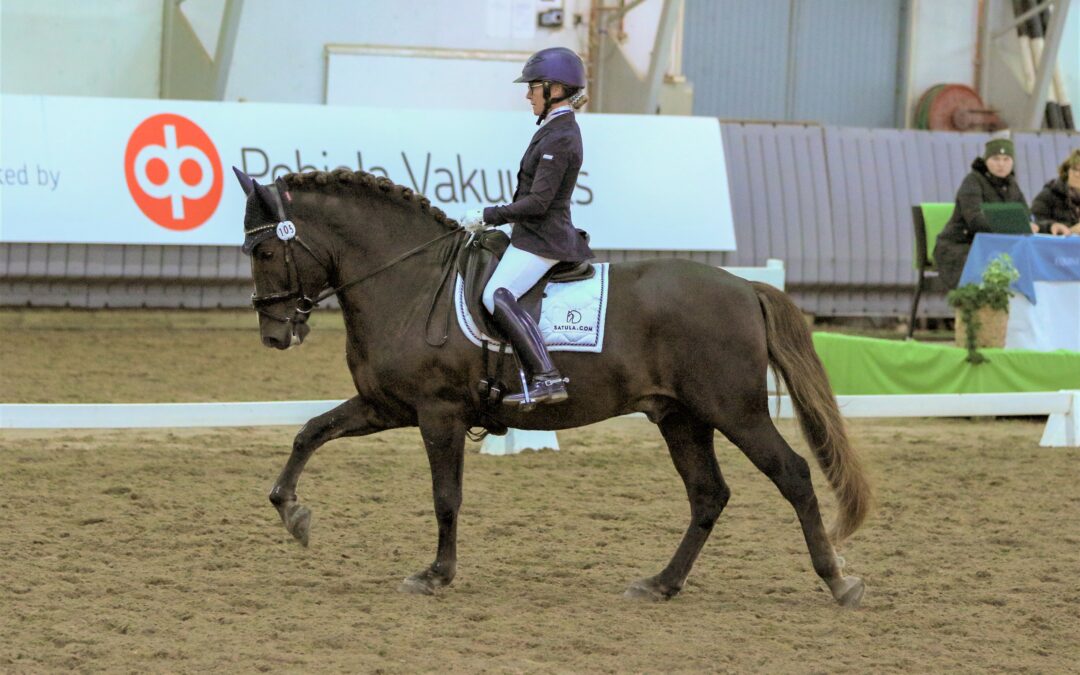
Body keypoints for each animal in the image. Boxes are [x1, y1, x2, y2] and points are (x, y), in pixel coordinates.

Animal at [234, 166, 872, 607]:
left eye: (264, 249)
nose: (273, 334)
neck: (408, 281)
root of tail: (745, 287)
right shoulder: (386, 405)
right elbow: (309, 432)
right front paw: (292, 513)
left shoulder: (438, 413)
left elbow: (445, 497)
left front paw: (435, 574)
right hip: (680, 416)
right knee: (708, 494)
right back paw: (660, 584)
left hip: (734, 411)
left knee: (792, 475)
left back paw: (838, 582)